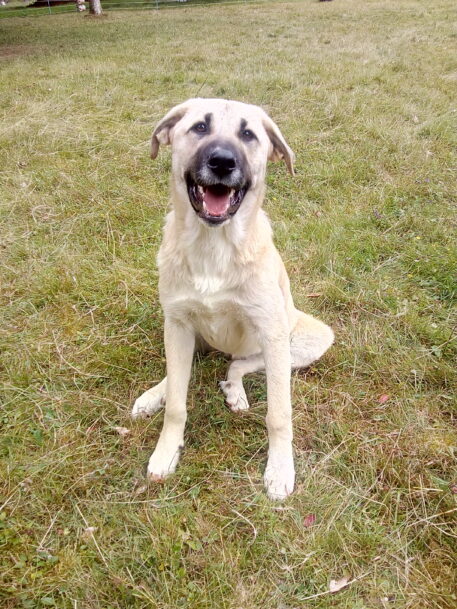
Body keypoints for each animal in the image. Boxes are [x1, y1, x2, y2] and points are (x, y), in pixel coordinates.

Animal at [130, 98, 334, 498]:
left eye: (248, 134)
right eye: (199, 127)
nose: (223, 162)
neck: (214, 246)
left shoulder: (271, 332)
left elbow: (279, 413)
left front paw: (280, 470)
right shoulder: (177, 323)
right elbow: (176, 402)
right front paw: (166, 451)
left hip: (303, 340)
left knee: (239, 364)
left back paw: (235, 392)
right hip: (182, 334)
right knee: (180, 373)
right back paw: (153, 395)